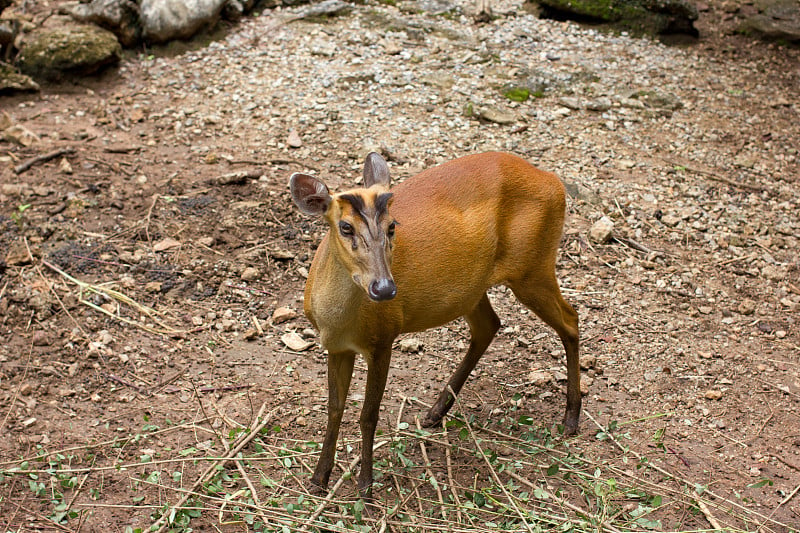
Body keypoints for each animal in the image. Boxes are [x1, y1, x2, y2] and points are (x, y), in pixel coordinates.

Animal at [290, 151, 580, 494]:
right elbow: (334, 409)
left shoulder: (383, 338)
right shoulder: (336, 348)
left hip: (533, 266)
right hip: (473, 289)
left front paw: (365, 486)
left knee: (571, 319)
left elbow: (368, 415)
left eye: (392, 225)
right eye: (345, 227)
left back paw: (571, 418)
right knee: (489, 325)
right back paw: (436, 412)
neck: (339, 321)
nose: (384, 288)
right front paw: (318, 479)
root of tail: (552, 180)